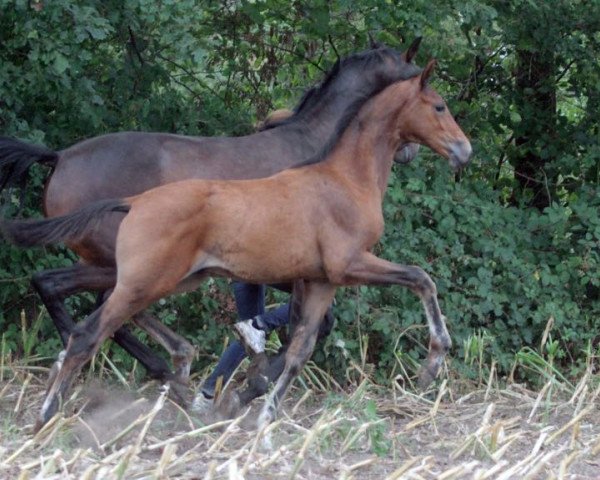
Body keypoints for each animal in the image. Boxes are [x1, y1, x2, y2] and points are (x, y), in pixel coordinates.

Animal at [0, 58, 472, 430]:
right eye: (439, 105)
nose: (464, 151)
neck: (343, 177)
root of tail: (134, 202)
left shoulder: (320, 280)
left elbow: (300, 348)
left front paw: (260, 411)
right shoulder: (349, 264)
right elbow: (421, 278)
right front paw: (433, 363)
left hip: (162, 279)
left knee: (81, 310)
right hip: (140, 280)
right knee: (86, 331)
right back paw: (51, 412)